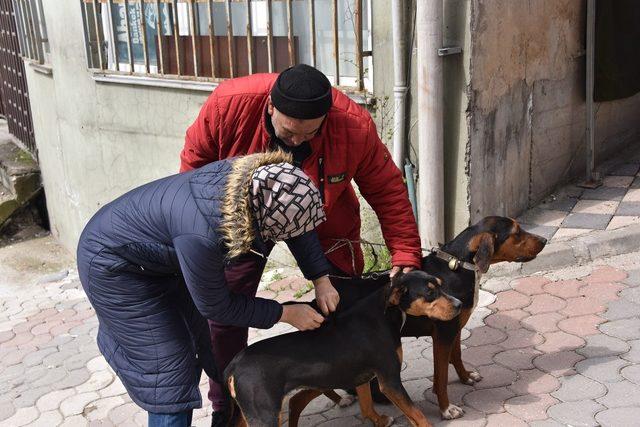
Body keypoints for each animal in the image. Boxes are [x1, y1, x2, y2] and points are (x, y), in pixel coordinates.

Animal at [224, 272, 460, 426]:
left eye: (441, 285)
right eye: (429, 293)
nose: (459, 304)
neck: (384, 313)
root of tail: (235, 363)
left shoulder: (362, 375)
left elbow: (366, 404)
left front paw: (379, 421)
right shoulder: (390, 381)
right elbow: (417, 415)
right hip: (264, 414)